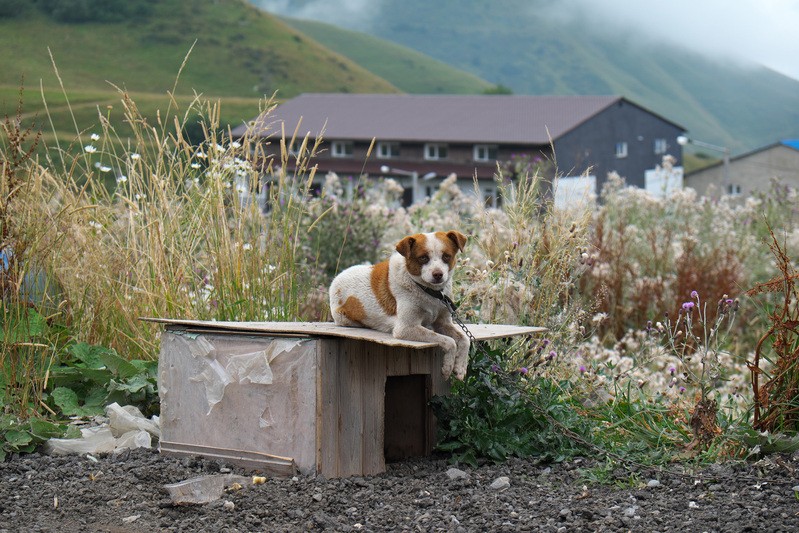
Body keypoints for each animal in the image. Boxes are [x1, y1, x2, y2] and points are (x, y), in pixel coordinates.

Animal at [330, 231, 472, 380]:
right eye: (423, 258)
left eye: (446, 256)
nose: (438, 274)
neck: (429, 292)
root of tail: (336, 278)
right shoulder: (405, 328)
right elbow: (449, 341)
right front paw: (448, 367)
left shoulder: (442, 323)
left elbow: (465, 339)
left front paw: (460, 368)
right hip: (344, 318)